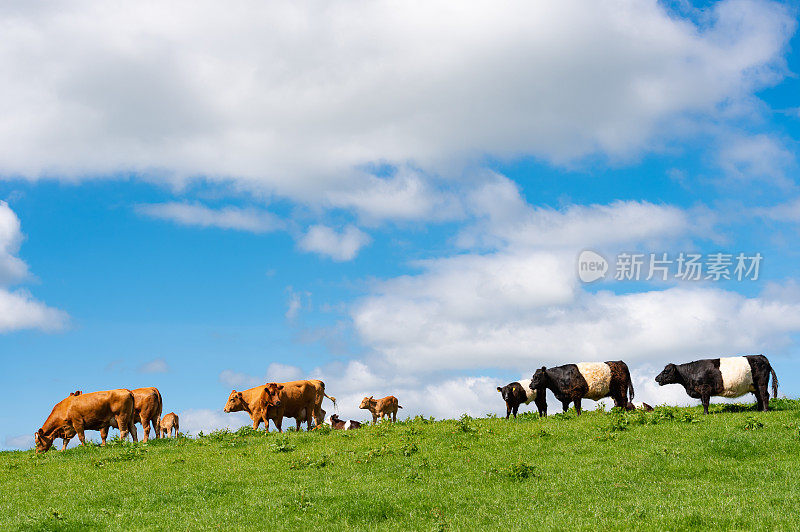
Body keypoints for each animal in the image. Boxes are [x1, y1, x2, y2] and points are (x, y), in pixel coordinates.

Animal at [652, 354, 780, 416]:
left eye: (666, 371)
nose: (656, 378)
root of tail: (763, 357)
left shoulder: (705, 388)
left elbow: (705, 403)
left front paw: (705, 414)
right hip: (754, 386)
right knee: (759, 397)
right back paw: (759, 410)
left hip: (761, 383)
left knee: (764, 396)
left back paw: (765, 410)